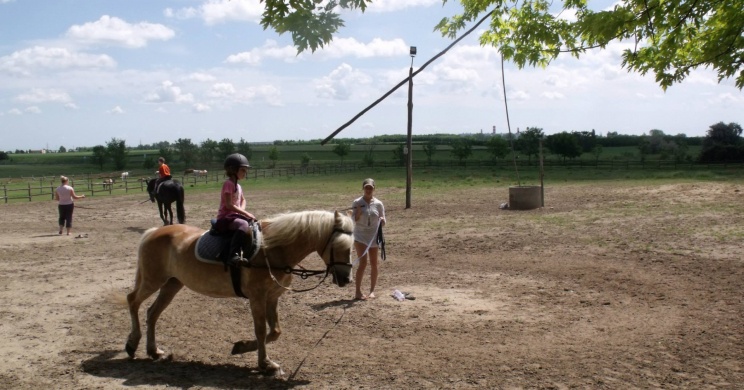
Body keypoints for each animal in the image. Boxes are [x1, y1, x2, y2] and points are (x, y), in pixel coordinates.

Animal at [125, 212, 354, 374]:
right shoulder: (257, 297)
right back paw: (132, 344)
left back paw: (153, 350)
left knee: (152, 313)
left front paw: (242, 347)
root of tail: (154, 232)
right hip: (153, 280)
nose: (347, 279)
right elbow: (261, 330)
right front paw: (265, 364)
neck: (272, 250)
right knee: (133, 301)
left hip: (171, 284)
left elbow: (275, 331)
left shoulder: (272, 297)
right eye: (339, 246)